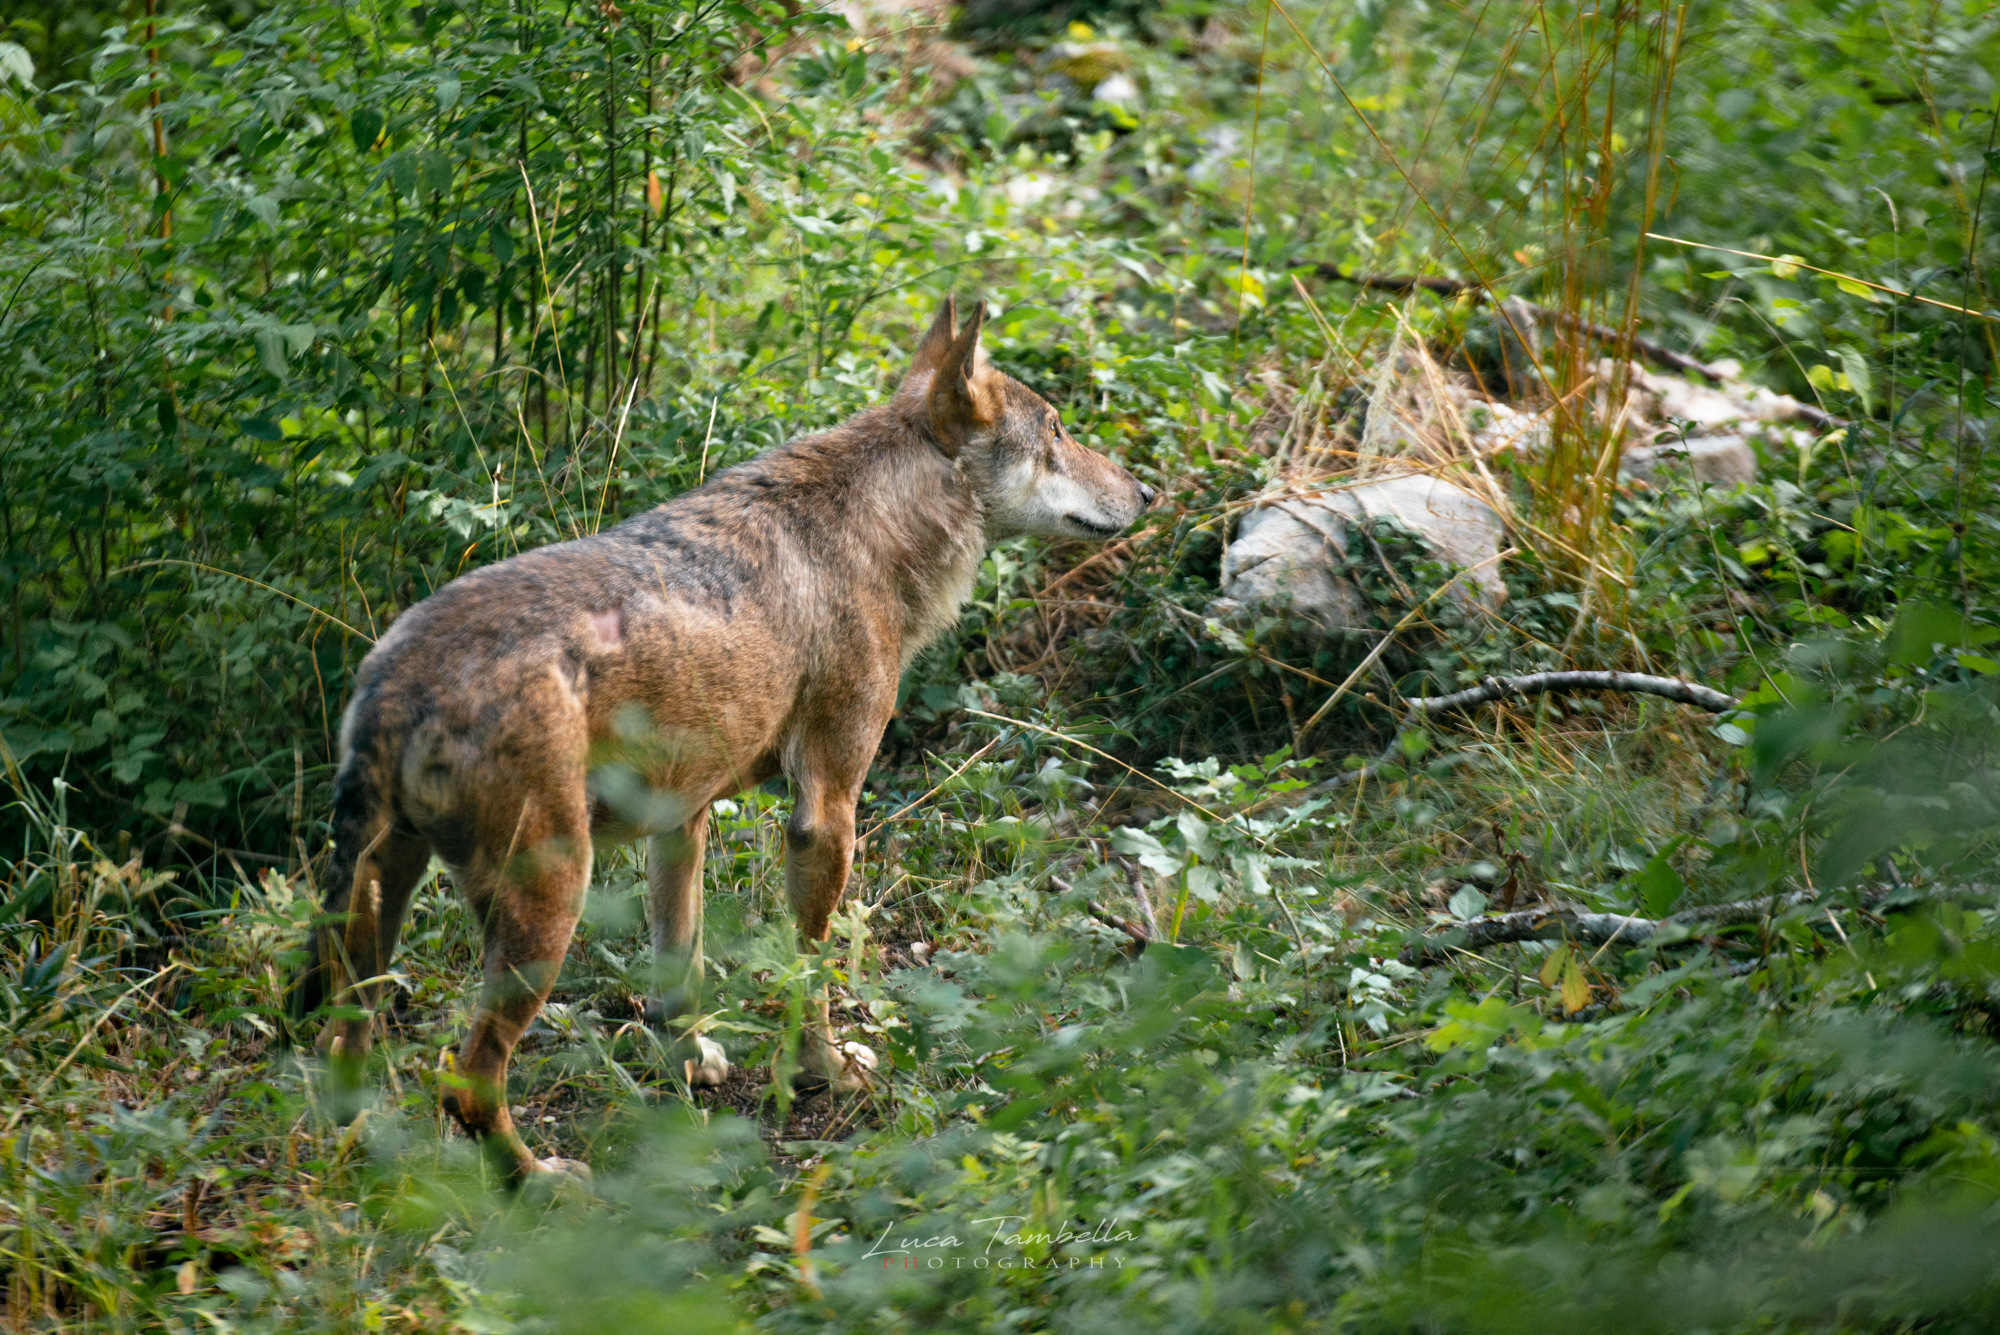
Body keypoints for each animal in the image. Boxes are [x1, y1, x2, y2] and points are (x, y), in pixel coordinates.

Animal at [291, 298, 1153, 1182]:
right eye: (1057, 430)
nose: (1149, 491)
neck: (875, 522)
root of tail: (396, 677)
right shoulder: (825, 814)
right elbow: (810, 969)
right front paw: (822, 1070)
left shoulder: (683, 816)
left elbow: (682, 967)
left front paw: (689, 1063)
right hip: (549, 902)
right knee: (465, 1080)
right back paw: (539, 1181)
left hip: (382, 909)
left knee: (349, 1050)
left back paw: (372, 1166)